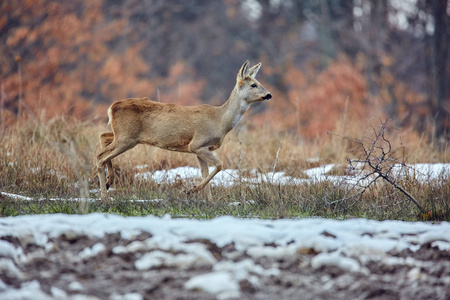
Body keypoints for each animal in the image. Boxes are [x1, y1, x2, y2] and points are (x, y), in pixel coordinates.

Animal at [96, 60, 270, 202]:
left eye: (258, 82)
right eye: (253, 85)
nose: (269, 94)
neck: (220, 120)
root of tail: (111, 107)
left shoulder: (200, 149)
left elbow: (205, 172)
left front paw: (208, 200)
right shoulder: (197, 144)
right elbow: (219, 165)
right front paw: (190, 190)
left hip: (124, 135)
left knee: (103, 137)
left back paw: (109, 182)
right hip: (127, 137)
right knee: (100, 157)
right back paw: (104, 197)